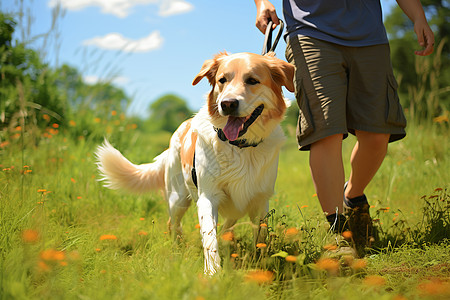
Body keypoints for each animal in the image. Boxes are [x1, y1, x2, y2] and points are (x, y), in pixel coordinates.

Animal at [95, 51, 296, 274]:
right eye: (222, 80)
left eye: (252, 80)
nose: (227, 104)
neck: (239, 147)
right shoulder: (208, 197)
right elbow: (209, 237)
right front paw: (213, 272)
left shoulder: (260, 200)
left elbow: (260, 239)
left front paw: (261, 265)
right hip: (178, 198)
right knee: (173, 224)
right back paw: (177, 249)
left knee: (227, 226)